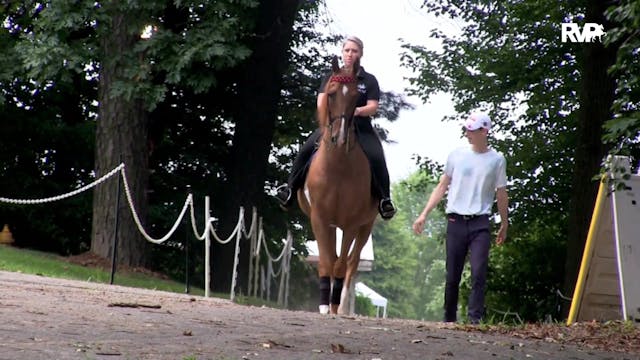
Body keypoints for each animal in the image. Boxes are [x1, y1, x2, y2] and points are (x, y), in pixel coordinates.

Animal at [298, 56, 378, 316]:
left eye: (356, 96)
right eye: (331, 94)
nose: (340, 138)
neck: (338, 167)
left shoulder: (352, 225)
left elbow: (341, 264)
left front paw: (334, 306)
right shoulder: (320, 219)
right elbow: (326, 262)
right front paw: (324, 305)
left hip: (366, 226)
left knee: (351, 262)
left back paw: (341, 307)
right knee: (332, 258)